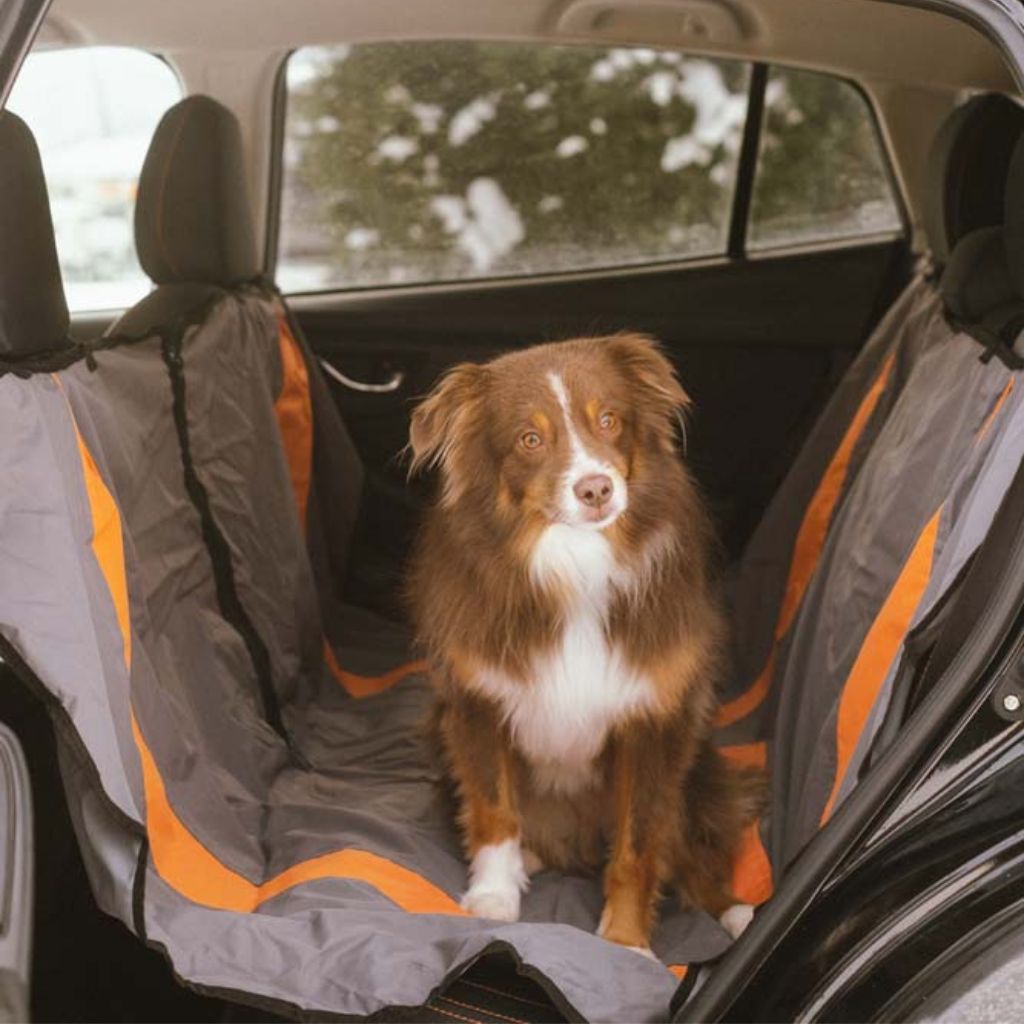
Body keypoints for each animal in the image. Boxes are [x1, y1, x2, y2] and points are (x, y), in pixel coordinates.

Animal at [407, 331, 761, 954]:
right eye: (529, 439)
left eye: (609, 420)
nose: (596, 488)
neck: (574, 559)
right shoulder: (477, 703)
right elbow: (494, 811)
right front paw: (494, 896)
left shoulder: (653, 722)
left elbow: (640, 845)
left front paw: (625, 940)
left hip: (697, 771)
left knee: (688, 848)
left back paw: (736, 911)